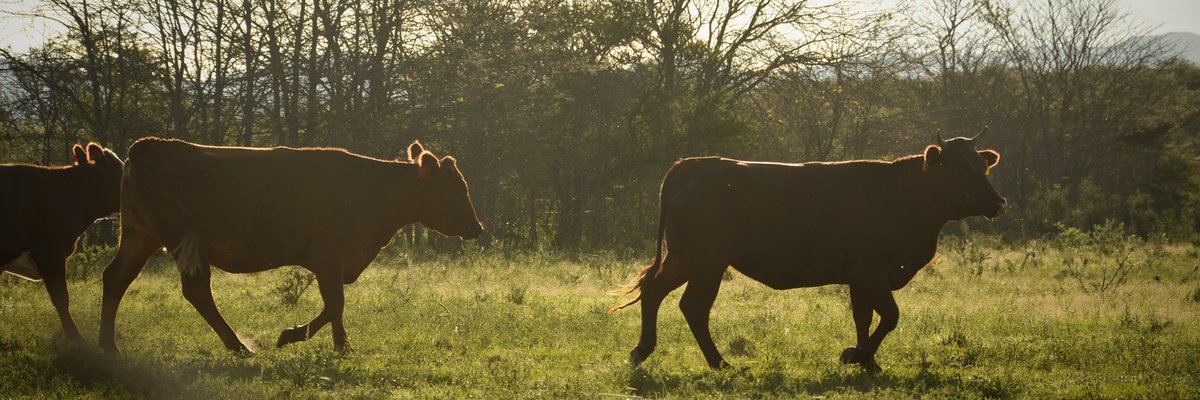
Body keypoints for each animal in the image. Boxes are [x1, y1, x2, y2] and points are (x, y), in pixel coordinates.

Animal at [97, 138, 483, 353]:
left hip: (139, 235)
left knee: (116, 277)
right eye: (455, 189)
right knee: (196, 291)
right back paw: (238, 346)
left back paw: (107, 345)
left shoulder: (336, 264)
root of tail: (146, 146)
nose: (476, 228)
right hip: (178, 238)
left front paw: (343, 347)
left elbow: (336, 307)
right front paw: (291, 336)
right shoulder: (328, 258)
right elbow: (335, 305)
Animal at [612, 129, 1005, 373]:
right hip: (707, 263)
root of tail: (689, 164)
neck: (905, 195)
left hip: (685, 258)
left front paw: (868, 362)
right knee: (693, 306)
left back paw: (642, 351)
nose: (998, 203)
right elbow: (890, 316)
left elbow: (864, 317)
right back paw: (719, 363)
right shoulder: (871, 271)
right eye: (959, 168)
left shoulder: (859, 277)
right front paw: (854, 356)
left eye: (982, 166)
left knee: (654, 291)